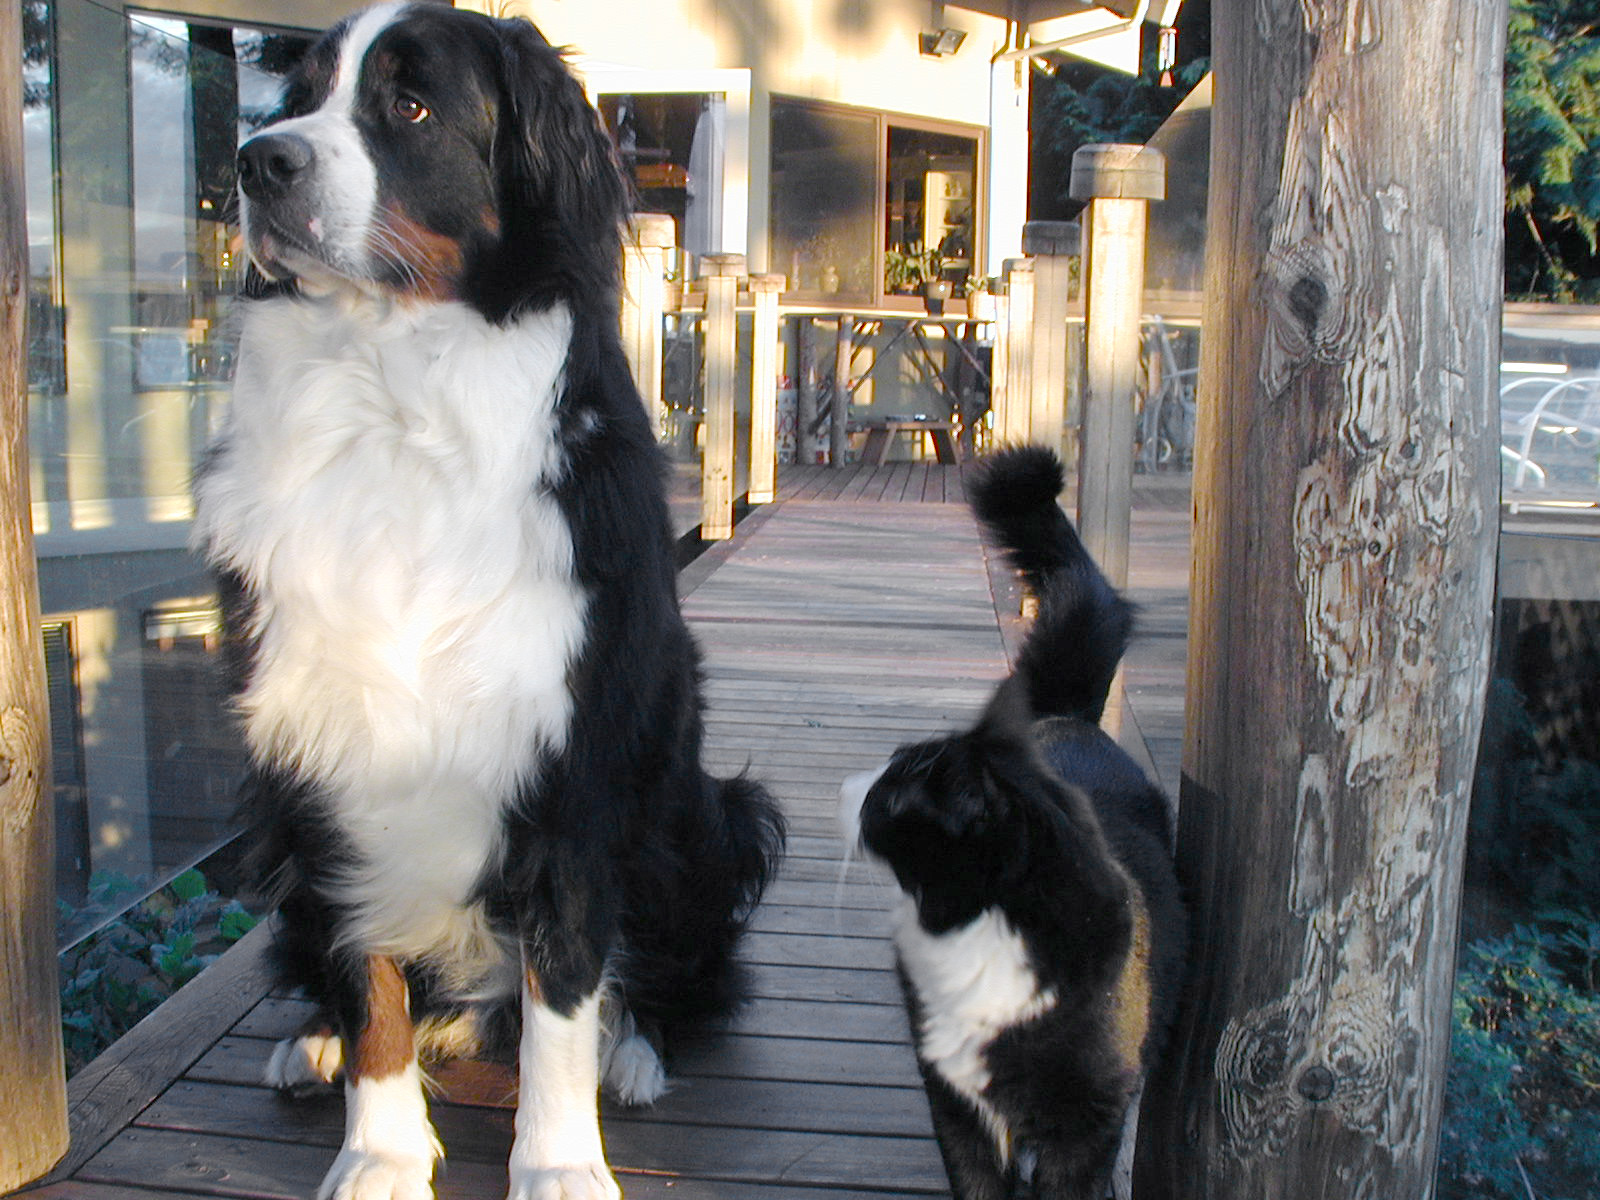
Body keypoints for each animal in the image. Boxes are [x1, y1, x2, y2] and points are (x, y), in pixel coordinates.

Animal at [196, 4, 784, 1196]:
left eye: (411, 105)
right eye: (299, 97)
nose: (258, 162)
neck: (396, 402)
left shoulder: (571, 762)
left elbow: (560, 998)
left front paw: (558, 1164)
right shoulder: (323, 755)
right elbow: (368, 979)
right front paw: (377, 1149)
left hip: (706, 816)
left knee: (672, 973)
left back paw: (635, 1050)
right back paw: (308, 1042)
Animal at [844, 448, 1184, 1200]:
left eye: (896, 790)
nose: (859, 786)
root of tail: (1062, 716)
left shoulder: (1087, 1123)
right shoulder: (953, 1103)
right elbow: (976, 1183)